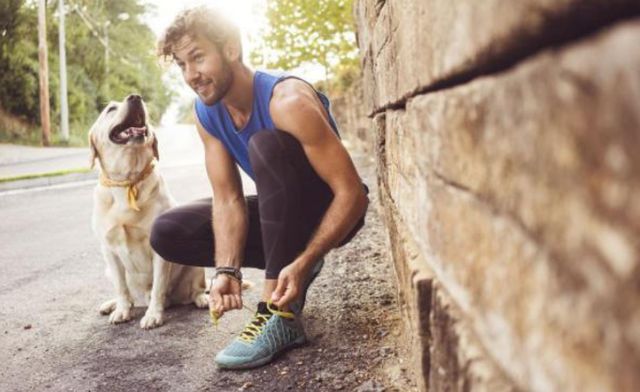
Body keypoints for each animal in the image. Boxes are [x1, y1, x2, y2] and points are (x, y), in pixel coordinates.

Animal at [87, 94, 206, 328]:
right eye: (110, 109)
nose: (135, 97)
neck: (128, 181)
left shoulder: (158, 250)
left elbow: (158, 285)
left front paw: (153, 315)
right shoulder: (108, 250)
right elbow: (121, 288)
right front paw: (122, 310)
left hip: (194, 265)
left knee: (196, 290)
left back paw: (202, 299)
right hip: (108, 270)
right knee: (129, 294)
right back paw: (112, 304)